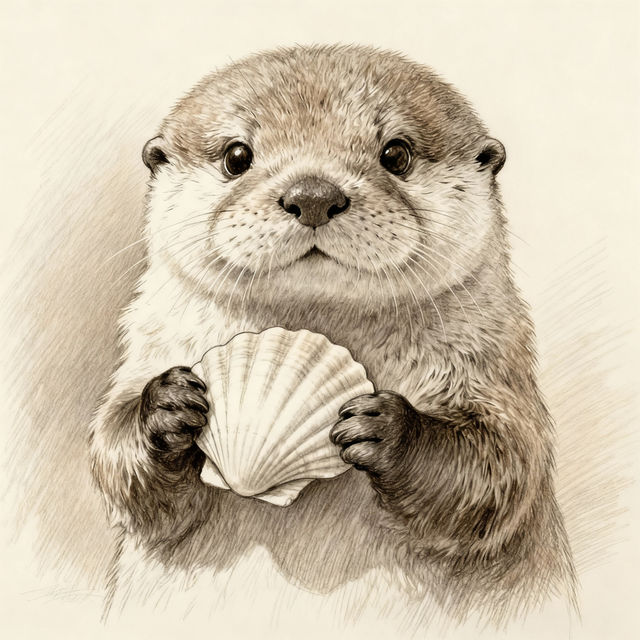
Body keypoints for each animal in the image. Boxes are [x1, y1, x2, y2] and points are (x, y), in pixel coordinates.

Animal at [90, 44, 575, 625]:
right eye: (236, 155)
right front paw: (166, 408)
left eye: (396, 154)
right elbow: (113, 456)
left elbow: (502, 465)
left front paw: (388, 431)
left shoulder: (492, 364)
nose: (314, 194)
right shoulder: (152, 342)